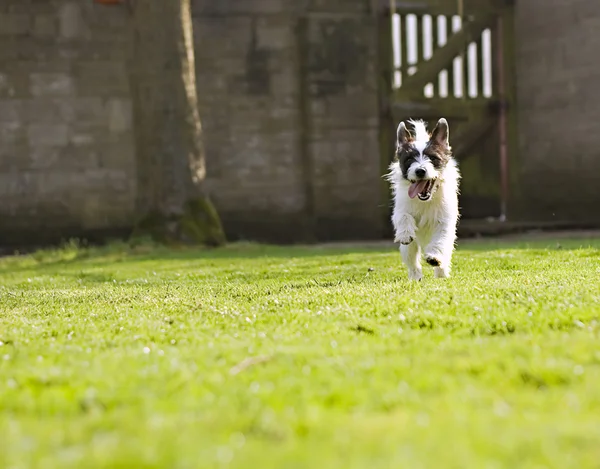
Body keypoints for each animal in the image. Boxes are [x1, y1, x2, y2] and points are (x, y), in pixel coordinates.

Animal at [386, 117, 462, 280]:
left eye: (433, 158)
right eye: (409, 159)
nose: (420, 170)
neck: (426, 200)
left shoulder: (445, 222)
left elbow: (440, 240)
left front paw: (434, 257)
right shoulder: (400, 210)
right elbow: (403, 216)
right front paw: (405, 232)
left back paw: (441, 273)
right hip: (408, 249)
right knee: (413, 261)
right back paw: (415, 277)